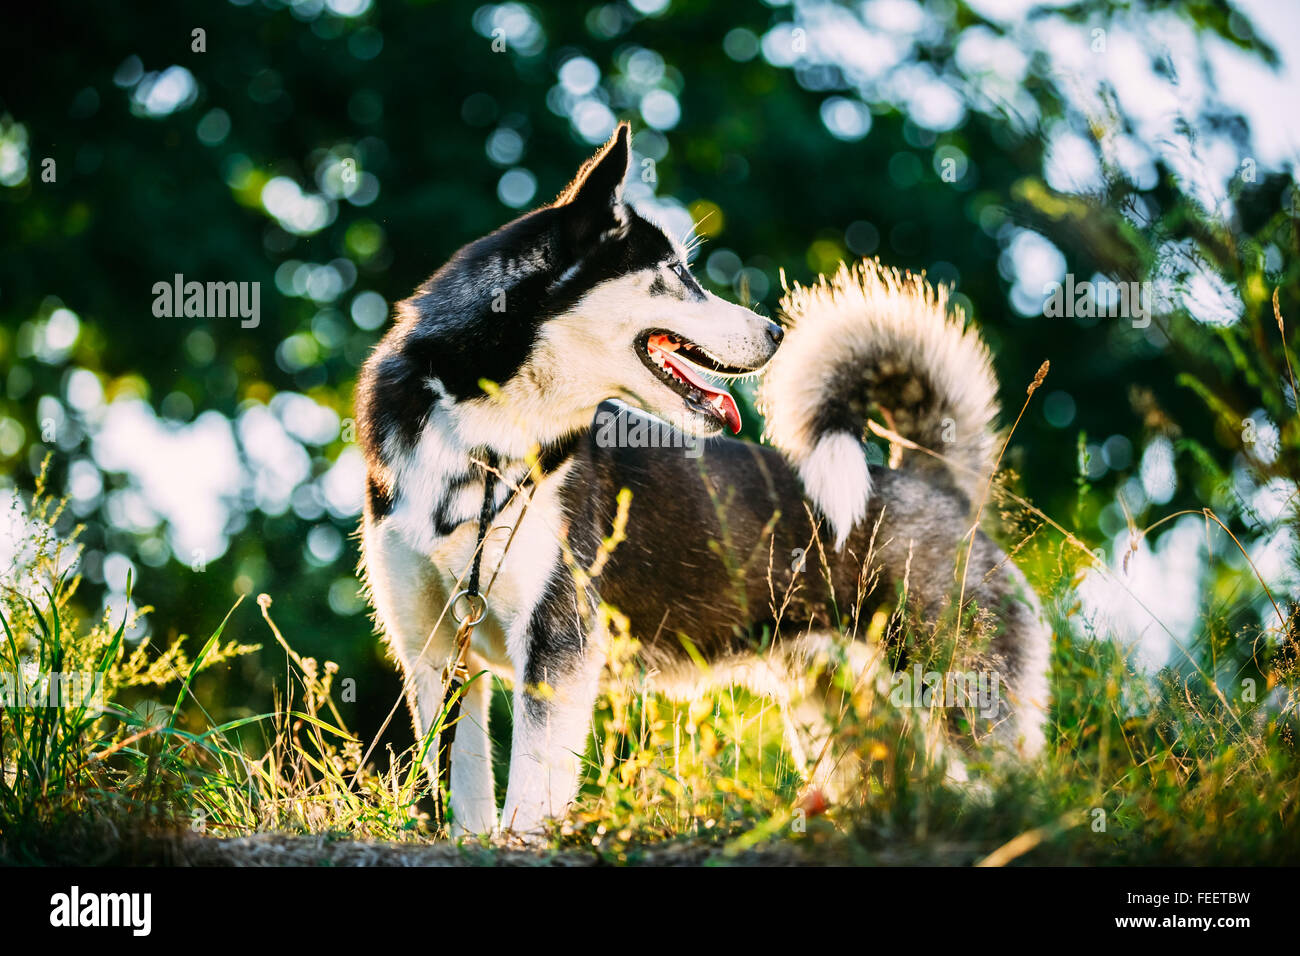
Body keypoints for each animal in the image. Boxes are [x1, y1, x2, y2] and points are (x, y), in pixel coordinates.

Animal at [353, 125, 1045, 837]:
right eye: (677, 275)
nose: (776, 330)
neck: (483, 442)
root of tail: (937, 482)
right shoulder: (436, 655)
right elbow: (462, 794)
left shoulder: (555, 645)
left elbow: (530, 791)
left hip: (958, 692)